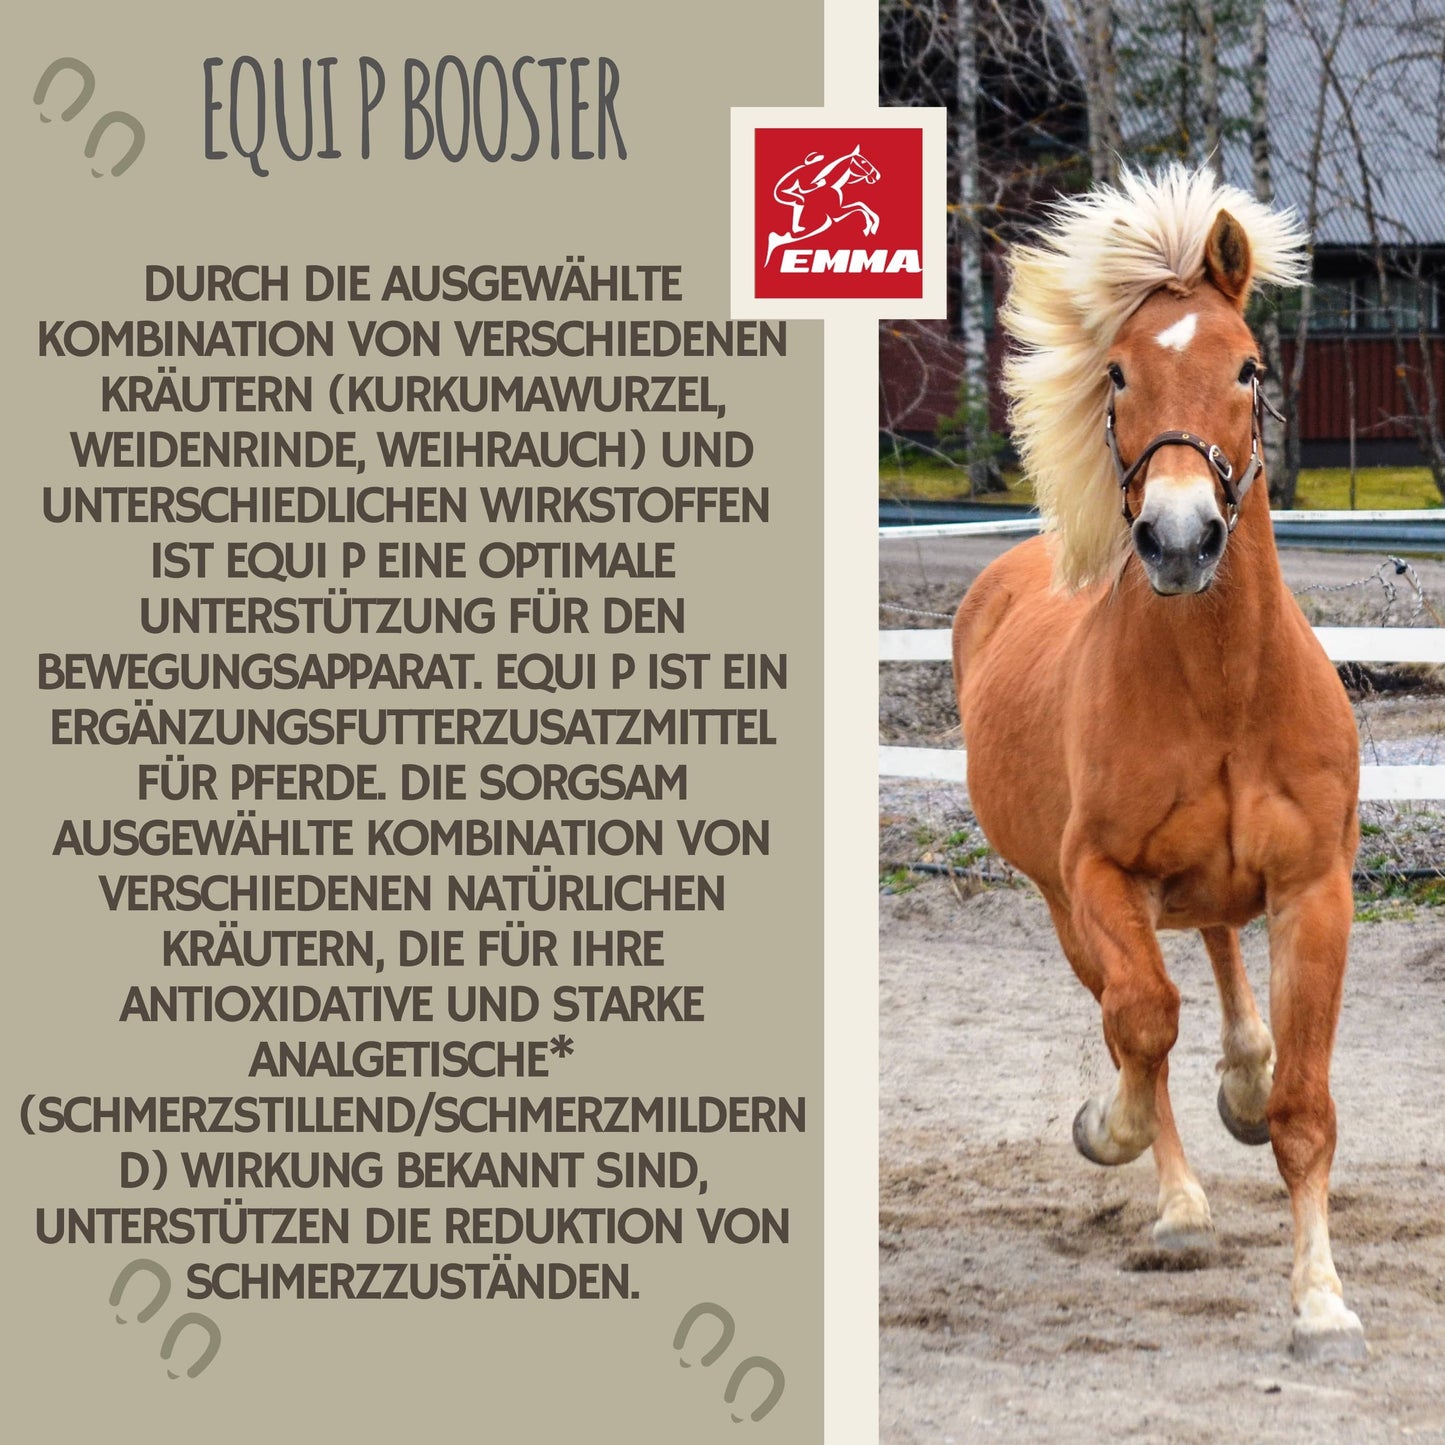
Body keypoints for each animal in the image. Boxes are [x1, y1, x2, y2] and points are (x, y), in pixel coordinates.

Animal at [952, 166, 1366, 1363]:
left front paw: (1320, 1301)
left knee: (1219, 954)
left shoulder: (1313, 888)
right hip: (1064, 903)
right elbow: (1140, 1023)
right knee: (1140, 1007)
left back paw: (1244, 1072)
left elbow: (1304, 1107)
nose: (1178, 540)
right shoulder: (1099, 876)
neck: (1223, 693)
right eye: (1119, 370)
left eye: (1246, 364)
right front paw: (1111, 1129)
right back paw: (1175, 1196)